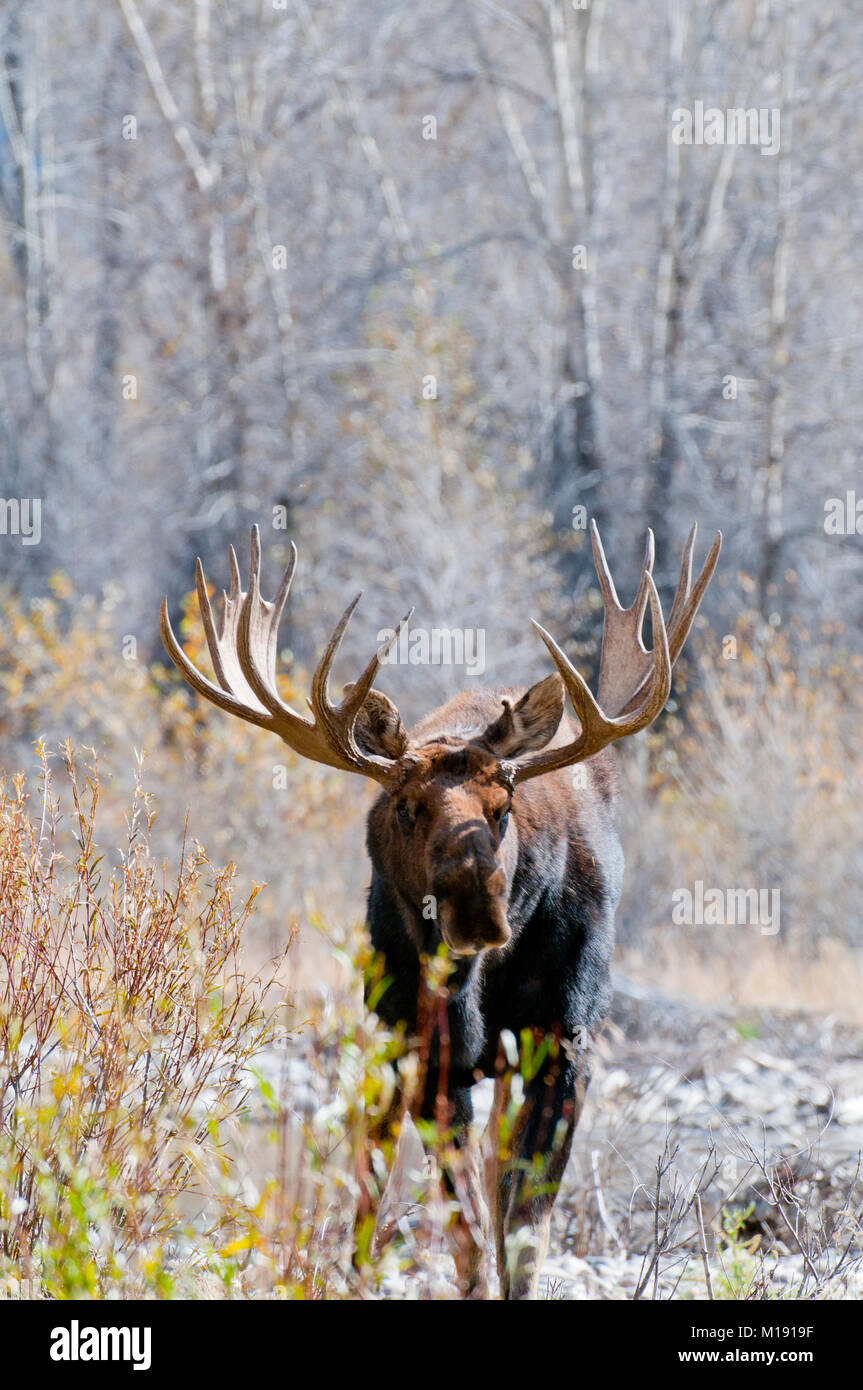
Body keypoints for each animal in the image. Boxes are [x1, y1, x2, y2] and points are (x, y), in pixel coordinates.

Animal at [161, 517, 722, 1295]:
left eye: (503, 807)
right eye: (405, 805)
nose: (475, 908)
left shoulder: (565, 1043)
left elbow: (521, 1232)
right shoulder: (435, 1055)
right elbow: (467, 1233)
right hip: (389, 1032)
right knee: (370, 1168)